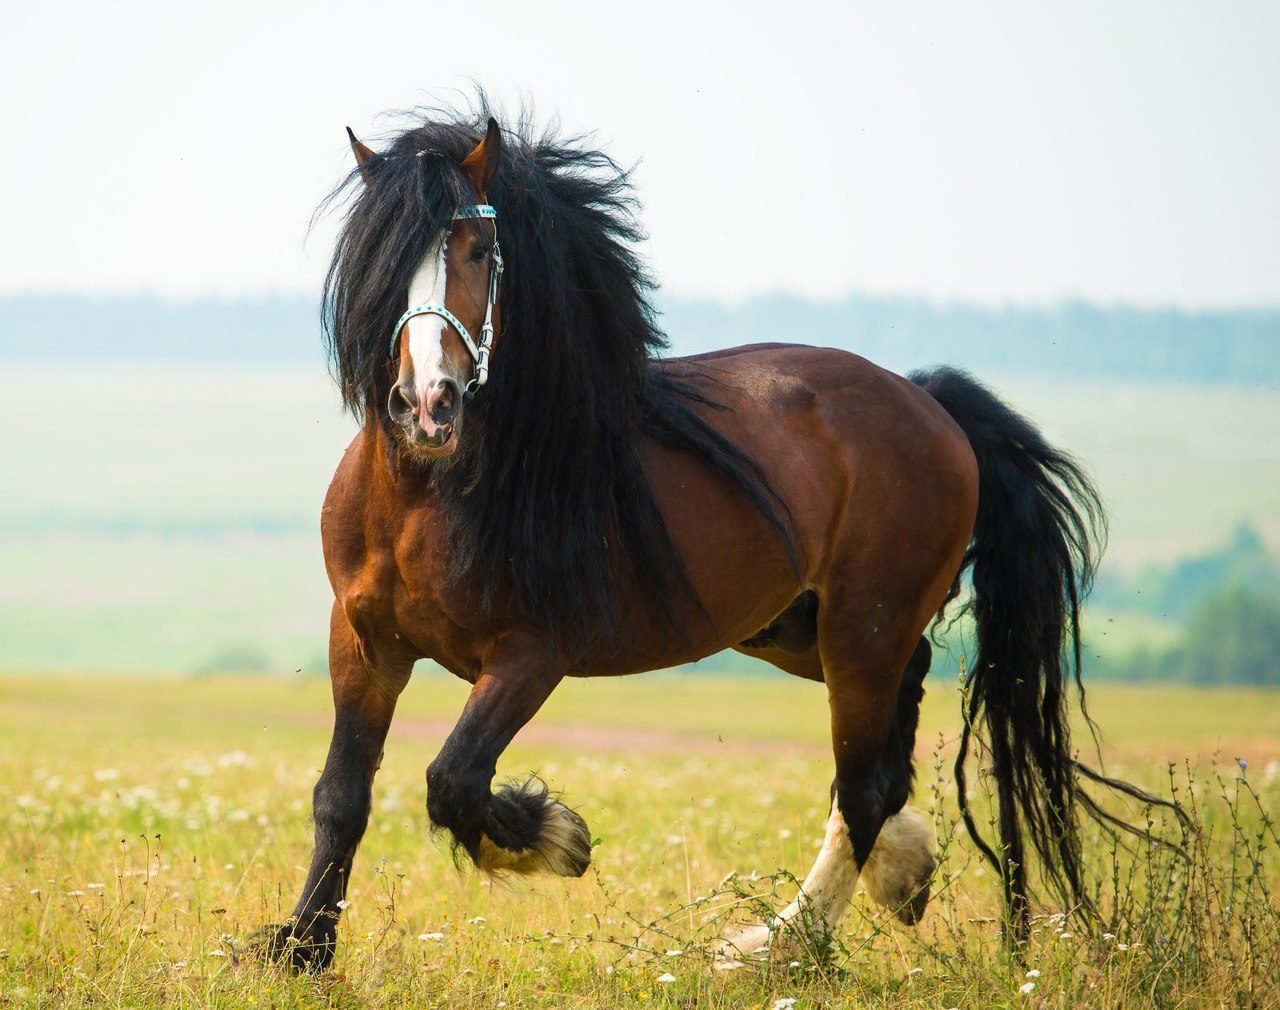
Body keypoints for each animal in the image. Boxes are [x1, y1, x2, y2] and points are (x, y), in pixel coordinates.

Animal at [257, 102, 1172, 967]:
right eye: (378, 260)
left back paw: (774, 948)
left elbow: (453, 780)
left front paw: (558, 837)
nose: (427, 405)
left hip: (860, 630)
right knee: (888, 734)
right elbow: (342, 795)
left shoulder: (529, 655)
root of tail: (933, 406)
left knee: (863, 783)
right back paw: (901, 872)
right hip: (798, 632)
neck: (430, 494)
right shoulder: (365, 641)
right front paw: (300, 950)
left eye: (479, 250)